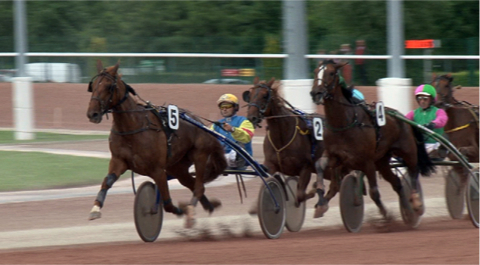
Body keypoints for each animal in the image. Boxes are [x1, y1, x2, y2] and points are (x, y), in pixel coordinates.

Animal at [86, 59, 227, 225]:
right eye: (93, 86)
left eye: (109, 86)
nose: (92, 114)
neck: (133, 127)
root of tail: (200, 123)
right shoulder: (118, 160)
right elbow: (107, 182)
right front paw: (95, 209)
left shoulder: (157, 169)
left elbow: (167, 203)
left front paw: (178, 210)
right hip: (177, 166)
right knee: (191, 184)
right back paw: (209, 206)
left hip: (199, 155)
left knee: (198, 187)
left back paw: (191, 210)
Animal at [244, 77, 344, 218]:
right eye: (251, 95)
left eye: (265, 95)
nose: (251, 117)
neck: (283, 135)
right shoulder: (270, 164)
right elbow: (266, 183)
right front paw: (255, 207)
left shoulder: (306, 168)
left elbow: (300, 196)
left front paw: (313, 190)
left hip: (336, 166)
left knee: (335, 186)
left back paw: (321, 205)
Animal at [312, 60, 436, 219]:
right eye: (316, 71)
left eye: (332, 73)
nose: (316, 93)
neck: (344, 124)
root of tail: (401, 116)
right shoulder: (335, 156)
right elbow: (320, 167)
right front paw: (321, 203)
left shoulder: (367, 162)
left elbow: (374, 192)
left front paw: (386, 215)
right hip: (382, 161)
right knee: (397, 182)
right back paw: (407, 211)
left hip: (407, 150)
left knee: (414, 170)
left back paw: (416, 203)